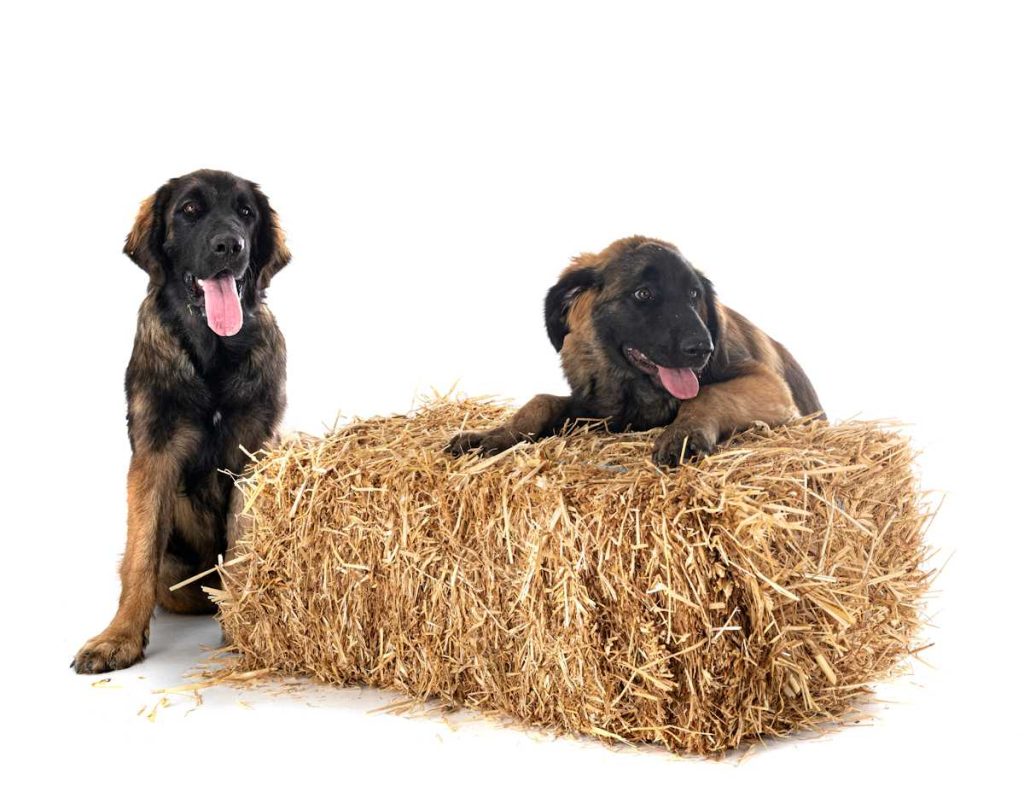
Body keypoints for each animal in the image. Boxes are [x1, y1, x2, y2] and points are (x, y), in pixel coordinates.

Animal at [74, 169, 292, 676]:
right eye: (190, 210)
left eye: (246, 213)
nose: (230, 245)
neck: (213, 353)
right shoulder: (153, 455)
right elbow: (140, 557)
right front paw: (119, 637)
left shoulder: (254, 453)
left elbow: (242, 543)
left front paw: (243, 625)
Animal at [448, 234, 823, 465]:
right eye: (644, 294)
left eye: (694, 295)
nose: (703, 348)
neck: (635, 388)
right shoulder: (598, 410)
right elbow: (541, 401)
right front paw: (493, 435)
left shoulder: (769, 386)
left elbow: (708, 394)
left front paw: (684, 432)